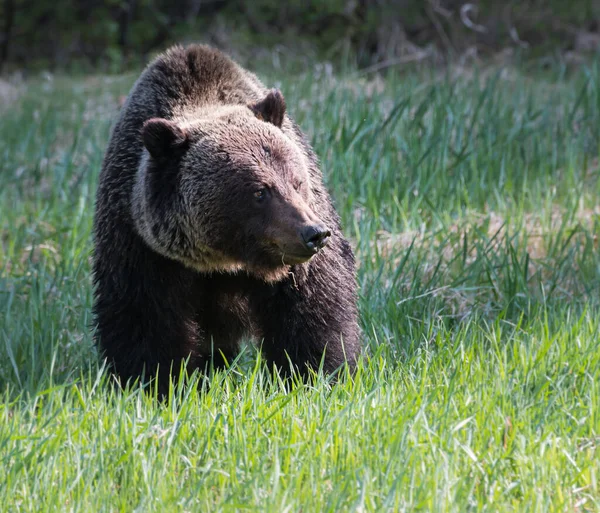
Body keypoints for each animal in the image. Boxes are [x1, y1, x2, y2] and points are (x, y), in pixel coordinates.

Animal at [91, 45, 358, 396]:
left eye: (298, 182)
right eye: (260, 191)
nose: (314, 233)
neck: (222, 259)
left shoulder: (296, 265)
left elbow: (314, 312)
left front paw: (317, 375)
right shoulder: (142, 247)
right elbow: (144, 320)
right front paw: (154, 383)